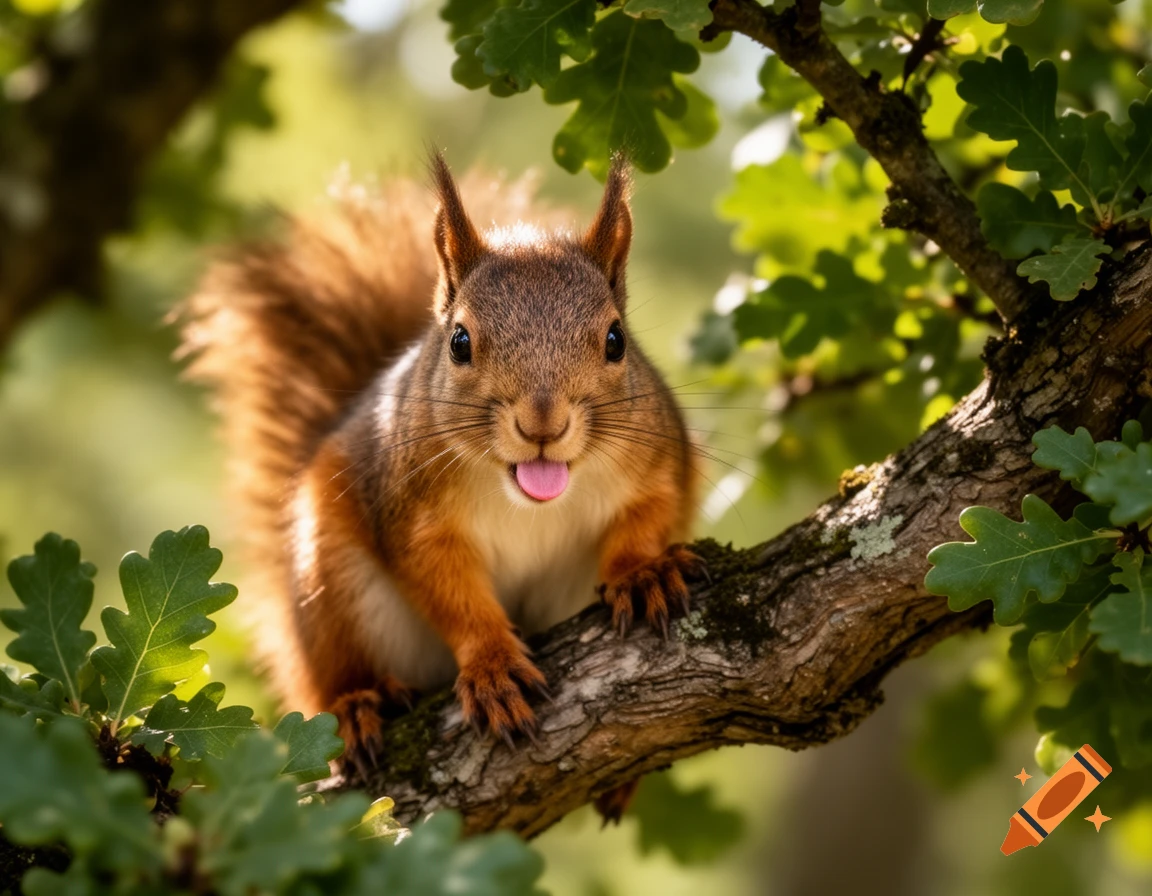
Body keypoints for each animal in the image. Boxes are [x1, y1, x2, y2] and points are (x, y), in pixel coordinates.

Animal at [180, 154, 703, 783]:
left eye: (616, 340)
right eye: (459, 342)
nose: (543, 425)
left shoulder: (659, 459)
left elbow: (652, 512)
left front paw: (642, 573)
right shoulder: (412, 514)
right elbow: (448, 591)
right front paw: (493, 667)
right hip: (329, 592)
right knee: (330, 676)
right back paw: (357, 705)